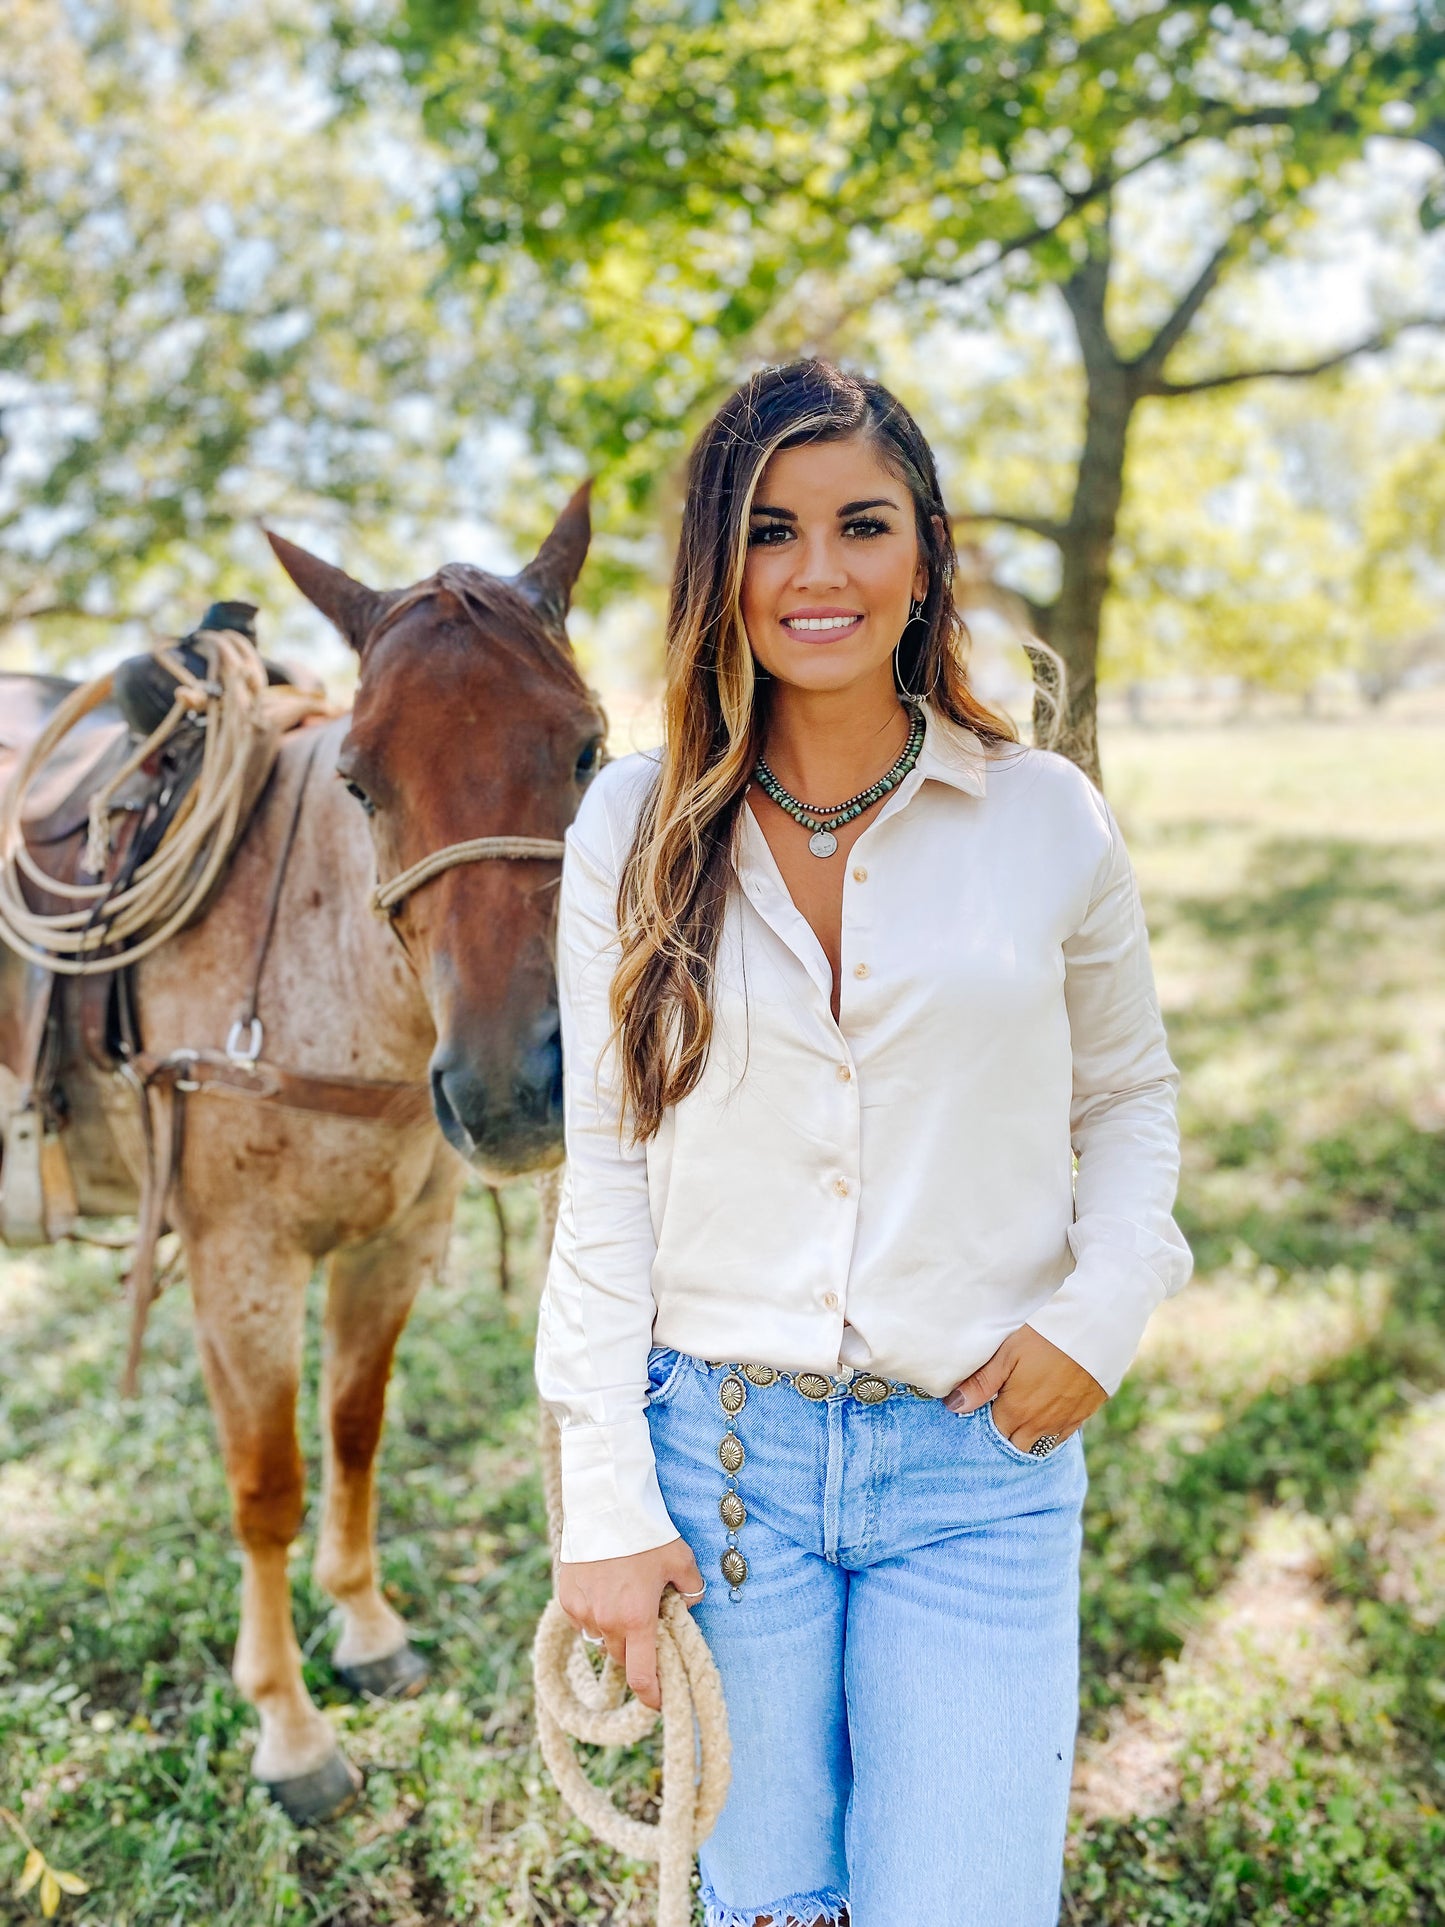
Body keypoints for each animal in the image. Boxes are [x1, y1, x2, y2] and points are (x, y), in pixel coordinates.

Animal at [0, 489, 604, 1811]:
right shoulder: (242, 1267)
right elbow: (267, 1486)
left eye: (587, 748)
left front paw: (366, 1631)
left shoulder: (391, 1245)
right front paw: (289, 1727)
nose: (508, 1088)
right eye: (360, 783)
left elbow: (353, 1432)